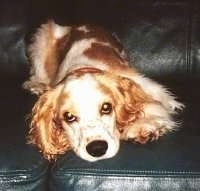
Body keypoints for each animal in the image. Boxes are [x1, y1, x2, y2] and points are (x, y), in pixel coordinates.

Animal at [22, 20, 184, 161]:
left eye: (106, 108)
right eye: (69, 117)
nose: (97, 149)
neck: (83, 68)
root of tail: (77, 25)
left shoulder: (143, 84)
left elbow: (155, 105)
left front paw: (143, 126)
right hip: (41, 40)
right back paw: (37, 85)